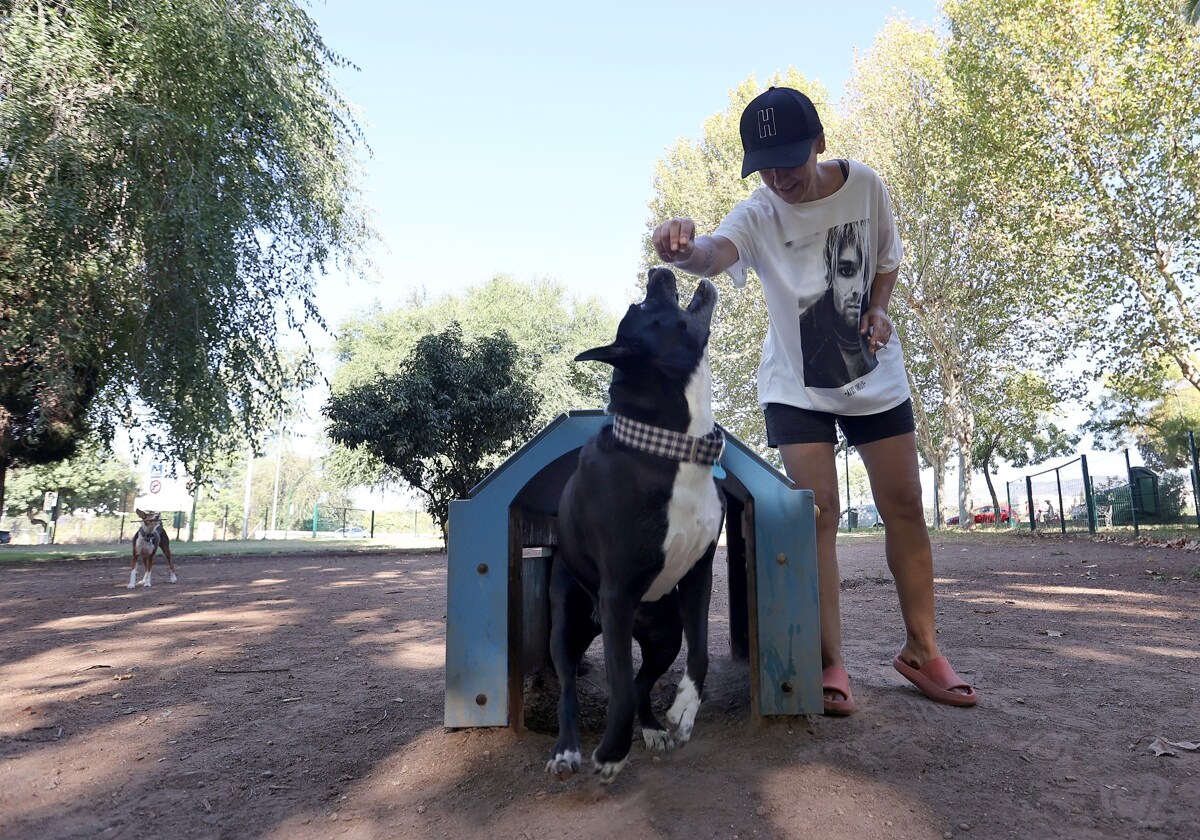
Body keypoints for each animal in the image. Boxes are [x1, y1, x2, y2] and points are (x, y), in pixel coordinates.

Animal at [547, 267, 720, 782]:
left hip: (664, 633)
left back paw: (653, 728)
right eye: (644, 308)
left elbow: (700, 654)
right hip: (568, 627)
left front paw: (683, 710)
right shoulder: (618, 593)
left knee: (645, 681)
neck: (670, 448)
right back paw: (568, 749)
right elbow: (619, 685)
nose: (657, 270)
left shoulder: (700, 573)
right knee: (570, 690)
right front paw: (611, 752)